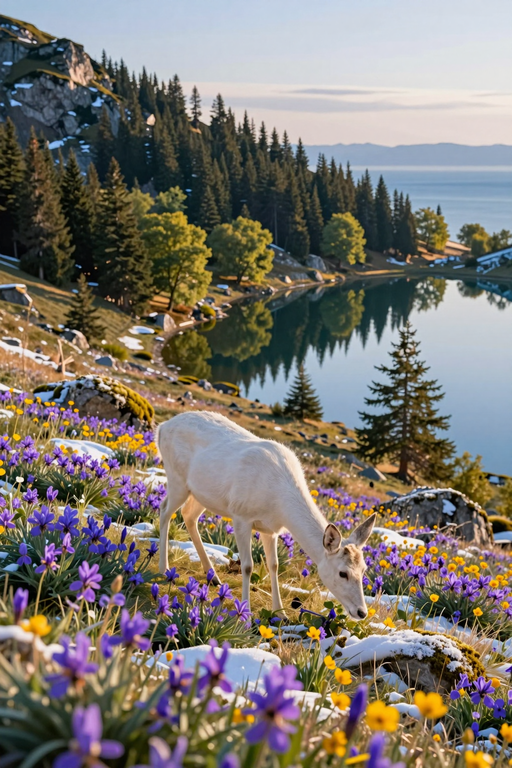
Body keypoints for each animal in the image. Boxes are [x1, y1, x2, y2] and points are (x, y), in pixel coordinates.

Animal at [156, 411, 376, 620]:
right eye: (342, 573)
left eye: (364, 569)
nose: (361, 612)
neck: (278, 504)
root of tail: (162, 427)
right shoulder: (240, 515)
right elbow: (247, 566)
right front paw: (245, 613)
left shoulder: (270, 529)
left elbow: (274, 565)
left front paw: (281, 613)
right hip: (177, 478)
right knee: (165, 510)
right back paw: (165, 568)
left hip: (202, 494)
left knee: (188, 516)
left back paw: (213, 576)